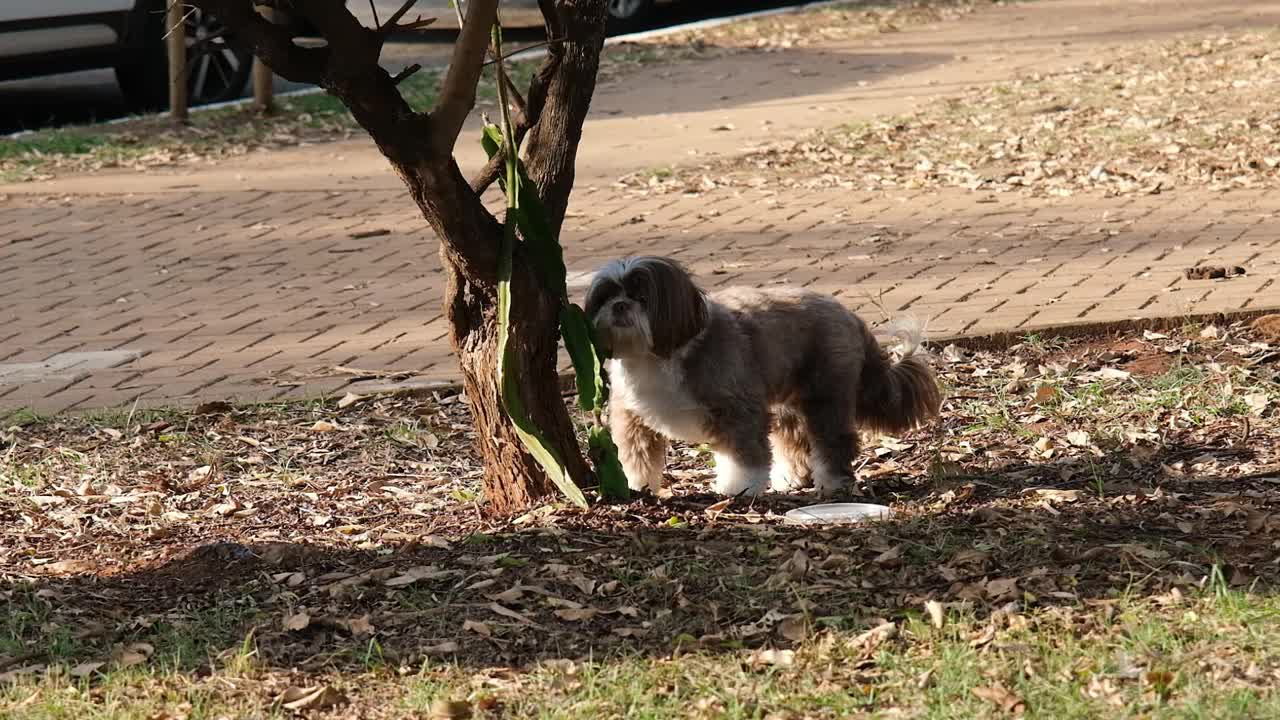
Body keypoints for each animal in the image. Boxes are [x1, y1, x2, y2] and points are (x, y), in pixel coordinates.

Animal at [586, 254, 942, 497]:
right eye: (606, 296)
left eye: (642, 297)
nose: (620, 305)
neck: (656, 355)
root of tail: (848, 314)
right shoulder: (632, 417)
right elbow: (638, 456)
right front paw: (637, 484)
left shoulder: (736, 408)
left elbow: (744, 454)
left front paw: (740, 488)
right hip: (788, 399)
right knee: (793, 437)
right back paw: (791, 477)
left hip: (826, 395)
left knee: (832, 439)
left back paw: (832, 481)